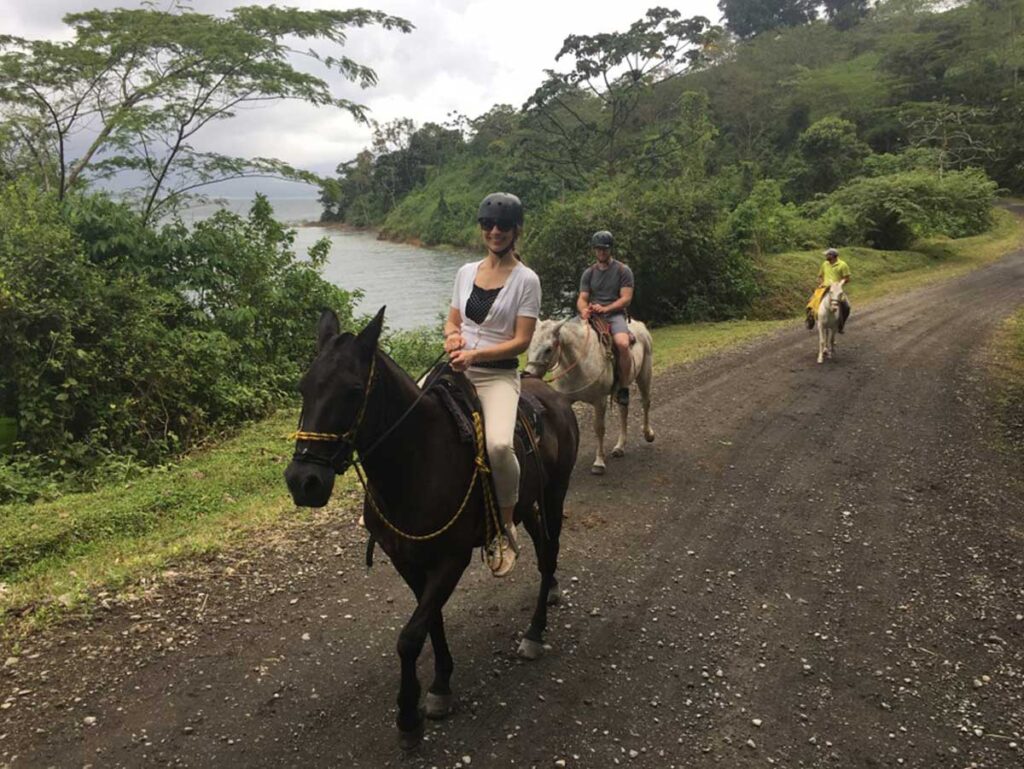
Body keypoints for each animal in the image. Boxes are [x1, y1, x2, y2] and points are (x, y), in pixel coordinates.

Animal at [284, 309, 581, 749]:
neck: (418, 459)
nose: (303, 481)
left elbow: (409, 637)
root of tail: (554, 397)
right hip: (527, 504)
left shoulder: (450, 560)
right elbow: (431, 620)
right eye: (304, 387)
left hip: (555, 494)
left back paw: (534, 632)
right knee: (544, 550)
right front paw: (441, 684)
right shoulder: (406, 561)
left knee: (549, 556)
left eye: (353, 391)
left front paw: (409, 715)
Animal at [528, 315, 655, 473]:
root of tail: (640, 325)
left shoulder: (599, 401)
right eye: (529, 346)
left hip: (644, 375)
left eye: (548, 349)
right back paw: (619, 447)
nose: (528, 374)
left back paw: (648, 434)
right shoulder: (565, 401)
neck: (579, 363)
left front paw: (599, 462)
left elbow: (599, 429)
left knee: (645, 403)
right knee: (623, 412)